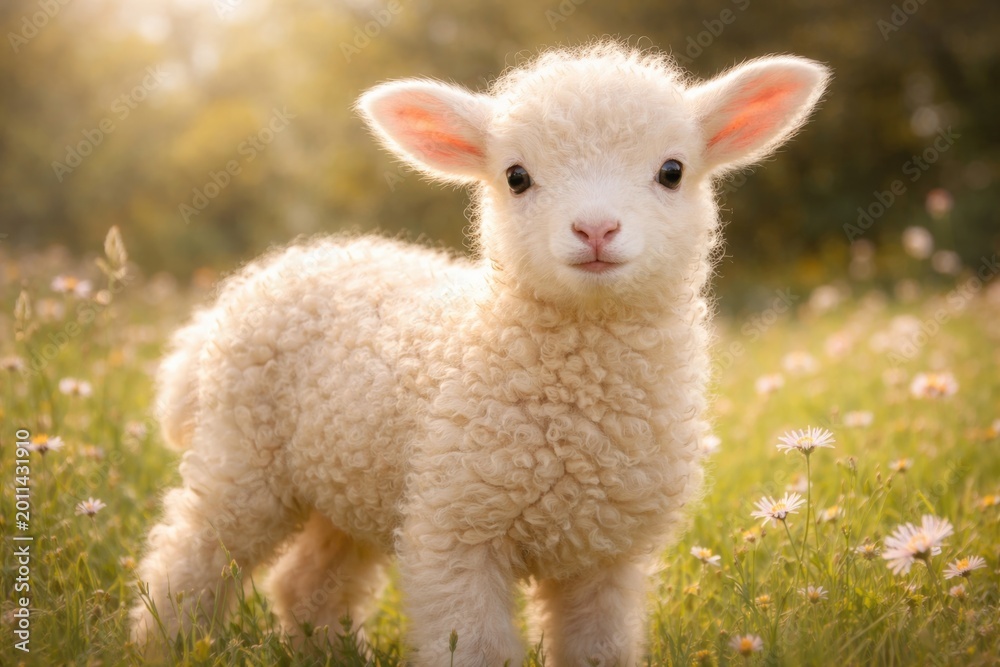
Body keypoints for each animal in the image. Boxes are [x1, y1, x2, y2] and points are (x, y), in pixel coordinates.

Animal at [130, 42, 829, 666]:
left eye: (672, 171)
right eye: (517, 177)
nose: (595, 229)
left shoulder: (606, 553)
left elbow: (598, 650)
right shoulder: (456, 529)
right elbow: (477, 649)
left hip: (350, 479)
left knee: (307, 580)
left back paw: (324, 650)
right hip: (244, 458)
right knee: (186, 559)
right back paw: (162, 643)